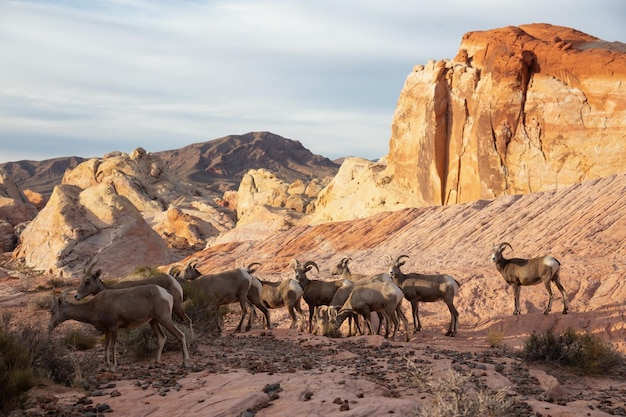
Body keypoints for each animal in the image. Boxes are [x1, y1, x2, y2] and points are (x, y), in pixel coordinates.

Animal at [48, 286, 188, 370]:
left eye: (52, 311)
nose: (49, 328)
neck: (93, 307)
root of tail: (166, 294)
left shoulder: (114, 328)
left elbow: (113, 346)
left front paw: (113, 366)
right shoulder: (107, 330)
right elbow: (106, 346)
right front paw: (106, 365)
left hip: (164, 319)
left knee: (180, 335)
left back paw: (185, 362)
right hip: (153, 322)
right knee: (161, 338)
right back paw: (156, 363)